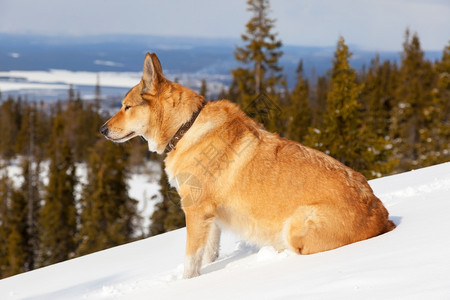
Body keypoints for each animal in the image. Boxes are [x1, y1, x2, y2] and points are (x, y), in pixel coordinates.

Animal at [100, 52, 396, 278]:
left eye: (126, 107)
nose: (102, 130)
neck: (185, 128)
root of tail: (381, 215)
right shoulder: (210, 218)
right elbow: (209, 253)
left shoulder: (195, 211)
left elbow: (191, 260)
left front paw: (187, 284)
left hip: (296, 223)